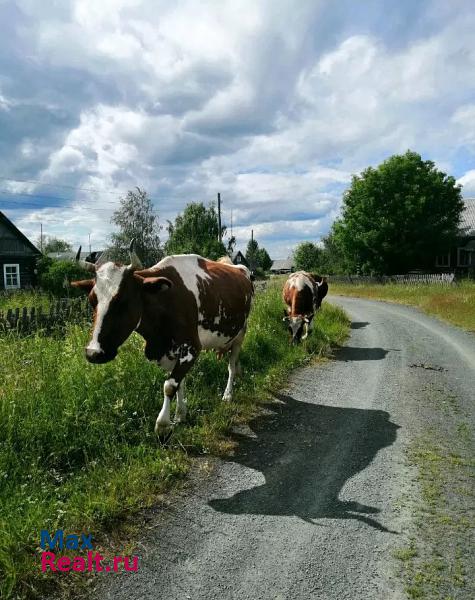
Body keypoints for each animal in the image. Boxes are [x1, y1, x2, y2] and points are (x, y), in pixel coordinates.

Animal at [71, 241, 253, 434]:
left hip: (240, 334)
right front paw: (180, 414)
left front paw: (163, 425)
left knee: (231, 366)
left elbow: (169, 385)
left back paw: (227, 395)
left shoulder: (192, 348)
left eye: (123, 301)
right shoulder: (170, 352)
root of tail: (238, 267)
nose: (93, 353)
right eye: (92, 300)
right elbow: (179, 383)